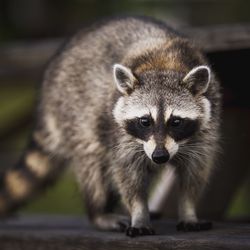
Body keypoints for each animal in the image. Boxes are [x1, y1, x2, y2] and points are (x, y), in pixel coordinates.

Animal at [0, 17, 221, 236]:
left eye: (176, 121)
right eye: (145, 121)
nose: (160, 156)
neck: (165, 65)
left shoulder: (207, 125)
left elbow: (194, 173)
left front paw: (188, 210)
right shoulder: (118, 131)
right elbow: (127, 173)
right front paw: (139, 213)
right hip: (74, 112)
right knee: (94, 166)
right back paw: (99, 213)